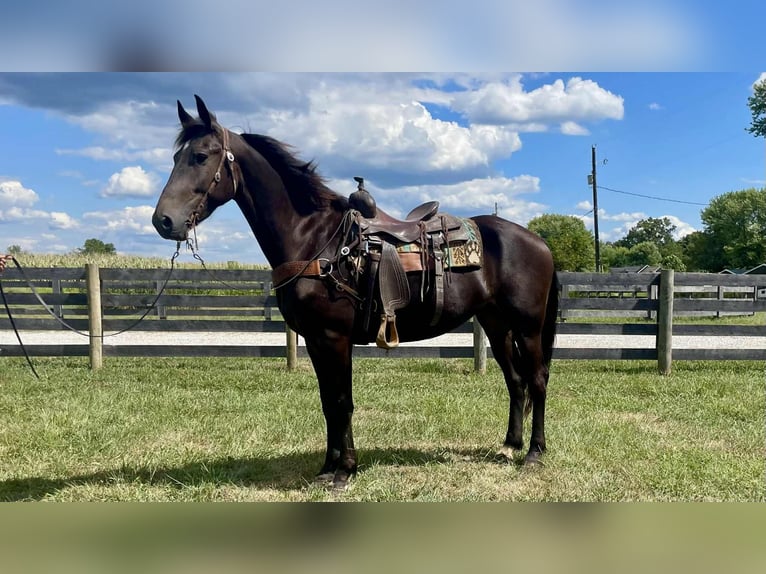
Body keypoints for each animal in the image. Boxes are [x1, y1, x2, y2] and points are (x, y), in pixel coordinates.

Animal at [152, 95, 559, 489]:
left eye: (201, 156)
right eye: (175, 157)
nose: (163, 221)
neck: (315, 241)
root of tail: (537, 241)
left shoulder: (334, 337)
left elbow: (341, 402)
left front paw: (344, 471)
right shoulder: (315, 340)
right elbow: (328, 403)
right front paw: (327, 468)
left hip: (528, 326)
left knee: (537, 379)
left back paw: (535, 454)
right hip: (496, 323)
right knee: (516, 381)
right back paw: (510, 445)